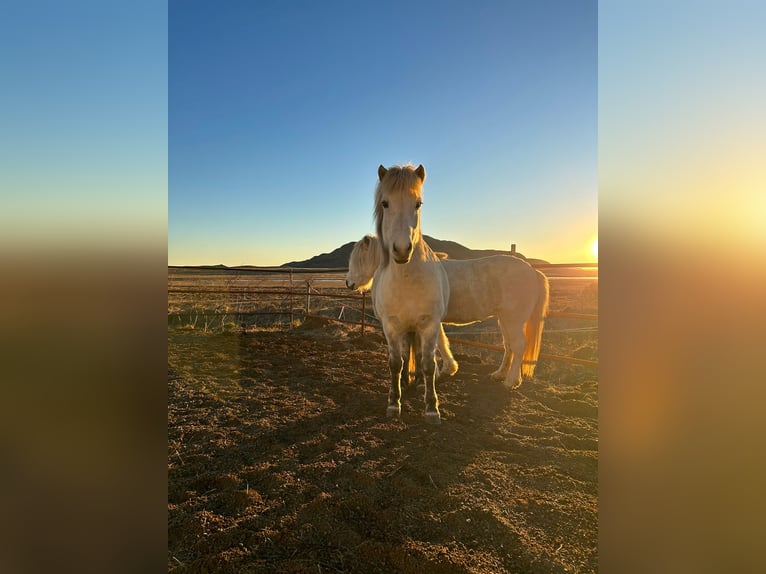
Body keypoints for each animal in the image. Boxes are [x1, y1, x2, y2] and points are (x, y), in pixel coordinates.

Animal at [345, 234, 550, 388]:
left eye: (359, 259)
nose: (348, 283)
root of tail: (533, 271)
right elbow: (442, 342)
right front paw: (448, 369)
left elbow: (436, 344)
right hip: (504, 319)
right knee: (509, 346)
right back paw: (499, 374)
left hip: (513, 320)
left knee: (518, 346)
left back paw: (511, 381)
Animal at [369, 164, 450, 423]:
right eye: (385, 203)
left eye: (418, 204)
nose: (402, 250)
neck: (407, 279)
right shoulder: (391, 326)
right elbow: (395, 363)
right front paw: (394, 403)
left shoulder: (430, 325)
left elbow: (429, 365)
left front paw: (432, 408)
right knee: (405, 356)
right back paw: (405, 380)